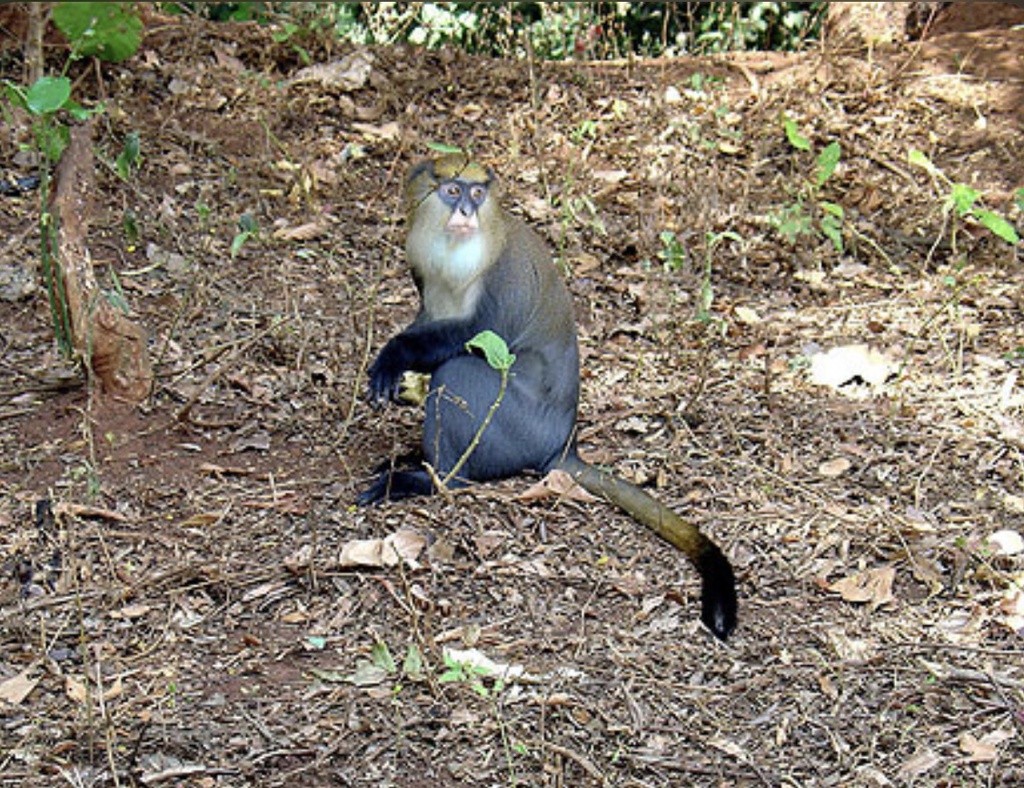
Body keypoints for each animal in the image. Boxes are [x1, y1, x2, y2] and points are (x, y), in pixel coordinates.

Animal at [360, 153, 737, 638]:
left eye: (476, 193)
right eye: (452, 190)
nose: (466, 211)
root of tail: (563, 442)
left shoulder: (503, 278)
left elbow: (474, 339)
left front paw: (393, 356)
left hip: (516, 428)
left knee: (459, 372)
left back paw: (432, 479)